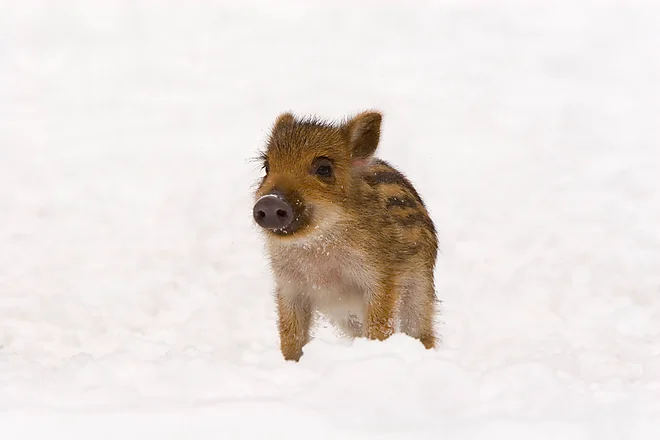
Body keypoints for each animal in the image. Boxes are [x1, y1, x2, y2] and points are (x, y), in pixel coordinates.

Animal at [252, 110, 439, 361]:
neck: (318, 245)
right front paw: (290, 364)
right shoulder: (290, 285)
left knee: (422, 330)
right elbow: (291, 334)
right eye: (266, 167)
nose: (270, 201)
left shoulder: (380, 278)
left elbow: (379, 325)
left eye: (323, 168)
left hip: (420, 288)